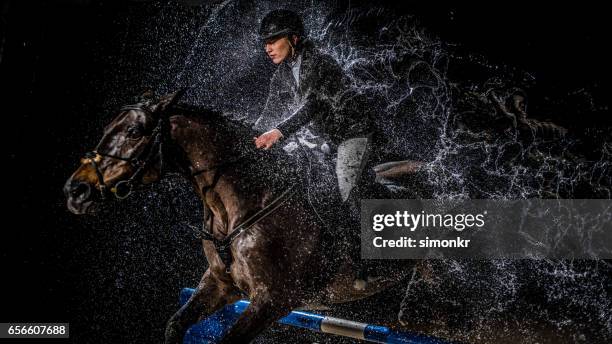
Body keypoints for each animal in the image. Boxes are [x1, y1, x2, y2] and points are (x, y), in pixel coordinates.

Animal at [63, 91, 426, 344]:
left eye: (136, 132)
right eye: (108, 128)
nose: (75, 191)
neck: (242, 204)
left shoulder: (273, 301)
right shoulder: (221, 284)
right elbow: (175, 324)